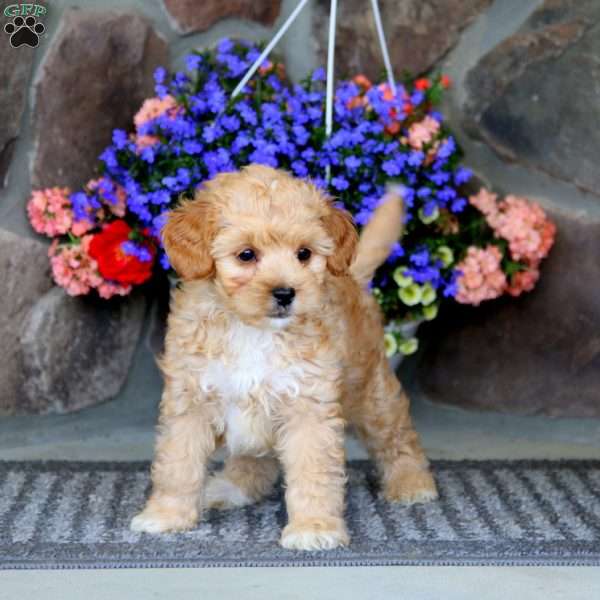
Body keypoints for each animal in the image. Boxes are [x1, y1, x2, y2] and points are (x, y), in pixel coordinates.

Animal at [131, 163, 436, 548]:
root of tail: (353, 278)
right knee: (254, 459)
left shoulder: (309, 406)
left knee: (396, 436)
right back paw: (232, 487)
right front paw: (166, 514)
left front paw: (314, 527)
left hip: (370, 391)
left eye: (304, 254)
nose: (285, 293)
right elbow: (177, 464)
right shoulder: (190, 400)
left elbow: (313, 470)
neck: (252, 330)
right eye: (246, 255)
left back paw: (412, 482)